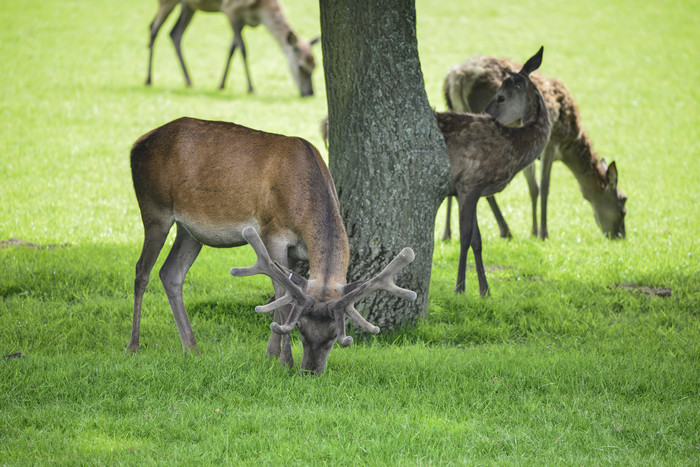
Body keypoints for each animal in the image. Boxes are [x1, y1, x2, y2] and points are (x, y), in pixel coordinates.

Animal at [128, 118, 416, 376]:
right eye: (300, 328)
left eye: (336, 334)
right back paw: (134, 346)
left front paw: (270, 354)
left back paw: (192, 348)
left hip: (190, 230)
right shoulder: (272, 233)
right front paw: (284, 360)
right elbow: (283, 297)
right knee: (142, 272)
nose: (310, 372)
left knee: (171, 273)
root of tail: (136, 143)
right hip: (154, 208)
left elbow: (283, 296)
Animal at [149, 0, 324, 97]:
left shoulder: (243, 20)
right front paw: (251, 88)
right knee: (153, 29)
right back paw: (148, 80)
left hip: (189, 6)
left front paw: (221, 84)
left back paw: (188, 81)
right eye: (301, 66)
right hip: (167, 1)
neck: (260, 11)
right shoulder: (230, 10)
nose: (310, 93)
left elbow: (232, 49)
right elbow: (243, 49)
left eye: (315, 65)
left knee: (174, 34)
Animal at [434, 47, 548, 296]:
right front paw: (460, 288)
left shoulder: (476, 190)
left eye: (501, 97)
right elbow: (465, 237)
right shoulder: (469, 183)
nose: (486, 114)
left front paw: (485, 291)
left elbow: (477, 240)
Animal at [440, 54, 628, 241]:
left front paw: (534, 231)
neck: (569, 144)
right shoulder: (550, 144)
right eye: (623, 205)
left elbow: (533, 187)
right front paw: (544, 233)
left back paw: (447, 233)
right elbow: (544, 187)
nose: (620, 235)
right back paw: (505, 230)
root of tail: (457, 77)